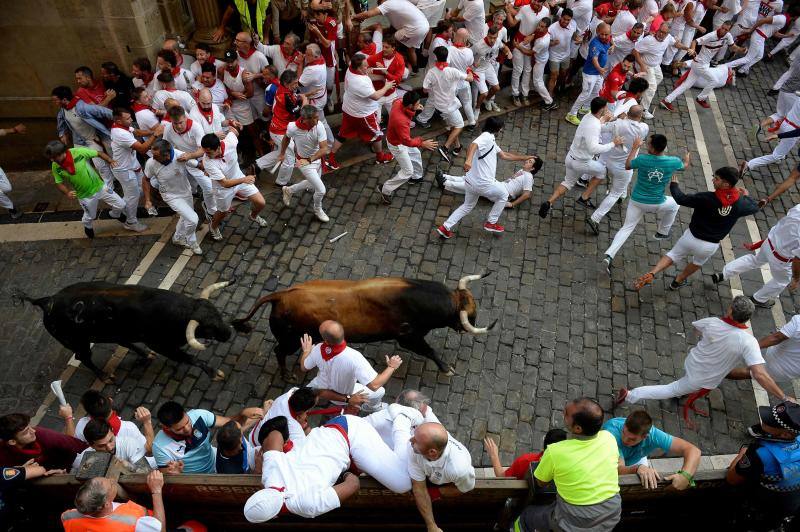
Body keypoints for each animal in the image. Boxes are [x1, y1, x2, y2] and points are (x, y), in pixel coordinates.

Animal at [12, 280, 234, 380]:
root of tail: (46, 301)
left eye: (217, 313)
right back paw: (104, 376)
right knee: (83, 357)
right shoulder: (160, 344)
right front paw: (214, 373)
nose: (229, 333)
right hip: (78, 342)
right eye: (208, 328)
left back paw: (144, 355)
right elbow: (189, 358)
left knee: (123, 341)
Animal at [228, 272, 496, 380]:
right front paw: (446, 368)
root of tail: (280, 295)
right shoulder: (408, 337)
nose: (470, 326)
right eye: (471, 316)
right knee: (278, 351)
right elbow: (429, 350)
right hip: (291, 340)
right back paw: (286, 374)